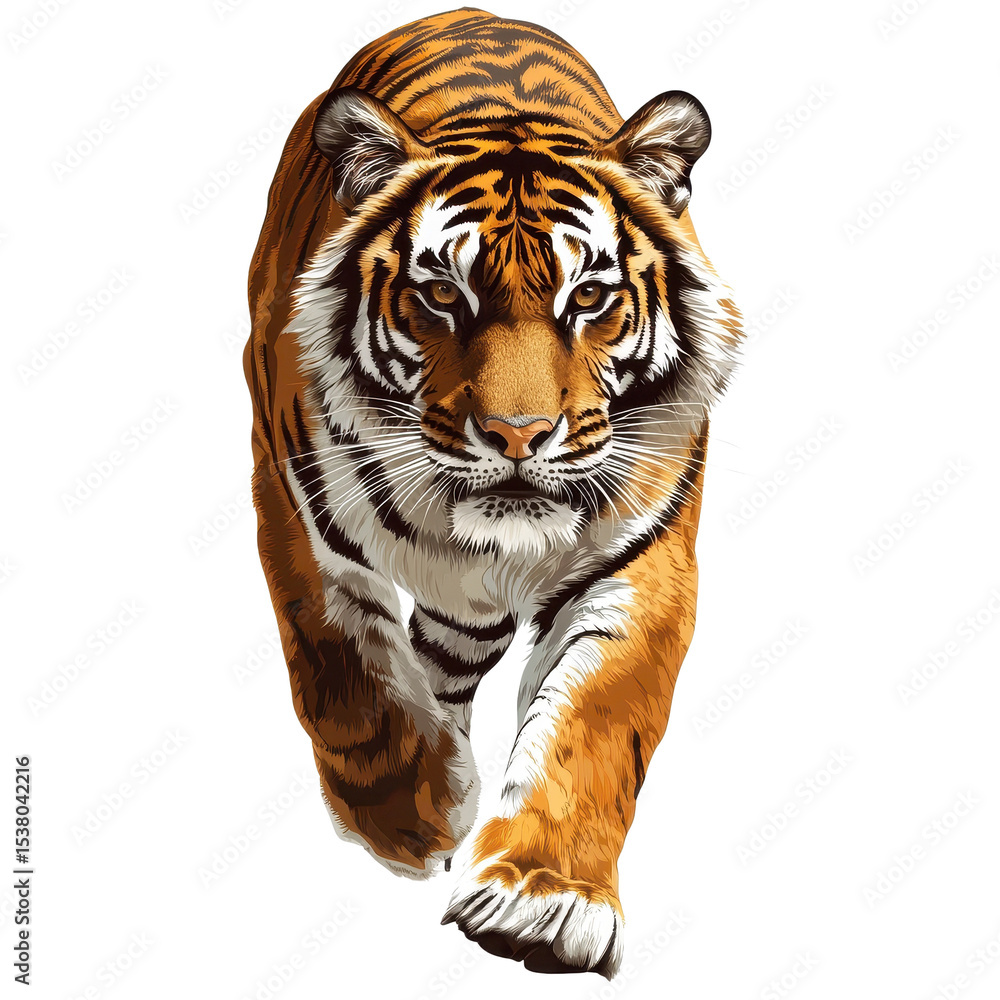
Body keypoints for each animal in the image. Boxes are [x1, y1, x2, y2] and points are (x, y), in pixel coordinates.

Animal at [244, 6, 741, 979]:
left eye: (589, 298)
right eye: (442, 294)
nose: (518, 435)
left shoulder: (643, 558)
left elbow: (596, 717)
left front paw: (543, 901)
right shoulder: (294, 504)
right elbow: (342, 667)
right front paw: (412, 812)